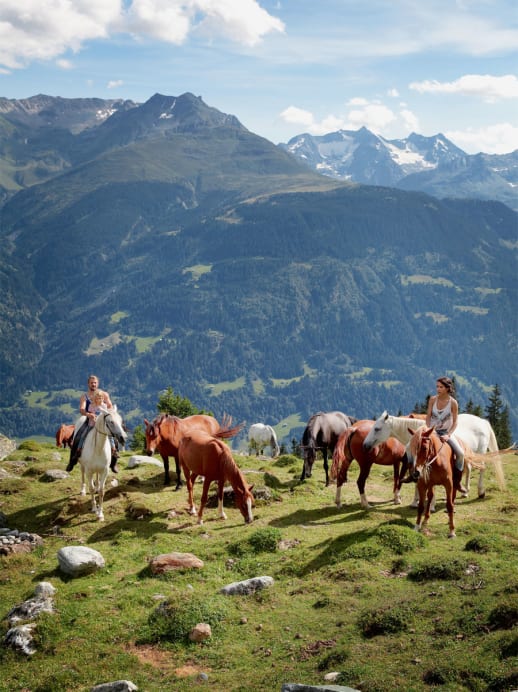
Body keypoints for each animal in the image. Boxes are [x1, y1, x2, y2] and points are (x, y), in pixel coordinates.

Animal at [364, 410, 506, 502]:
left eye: (377, 428)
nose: (365, 445)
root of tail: (482, 421)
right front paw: (416, 501)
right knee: (469, 468)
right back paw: (465, 491)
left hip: (481, 452)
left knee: (482, 468)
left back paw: (480, 492)